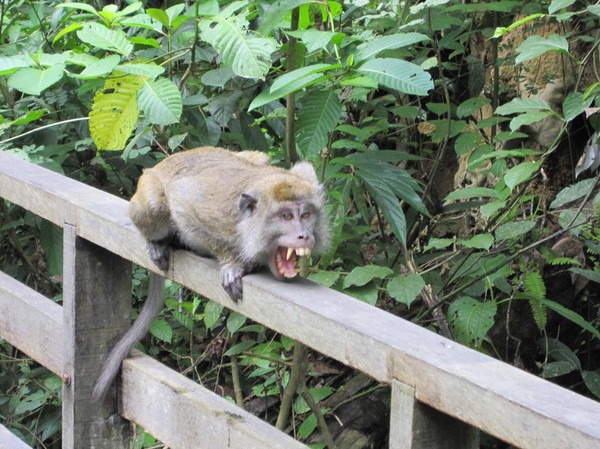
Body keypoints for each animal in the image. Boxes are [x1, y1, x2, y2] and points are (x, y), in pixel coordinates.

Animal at [91, 147, 330, 400]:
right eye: (287, 216)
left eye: (306, 214)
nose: (305, 235)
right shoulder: (213, 212)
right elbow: (183, 202)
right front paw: (233, 262)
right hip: (147, 194)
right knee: (156, 203)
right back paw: (157, 242)